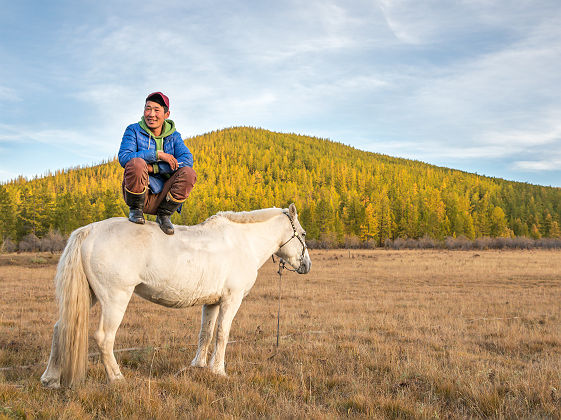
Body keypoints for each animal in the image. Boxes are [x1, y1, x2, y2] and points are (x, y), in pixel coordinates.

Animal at [39, 205, 310, 388]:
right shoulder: (231, 301)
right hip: (115, 299)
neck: (243, 242)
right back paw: (117, 378)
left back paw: (50, 378)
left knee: (60, 328)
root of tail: (90, 230)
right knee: (104, 338)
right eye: (304, 234)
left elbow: (205, 334)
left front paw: (199, 366)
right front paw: (219, 371)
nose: (306, 265)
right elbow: (222, 335)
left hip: (90, 296)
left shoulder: (212, 303)